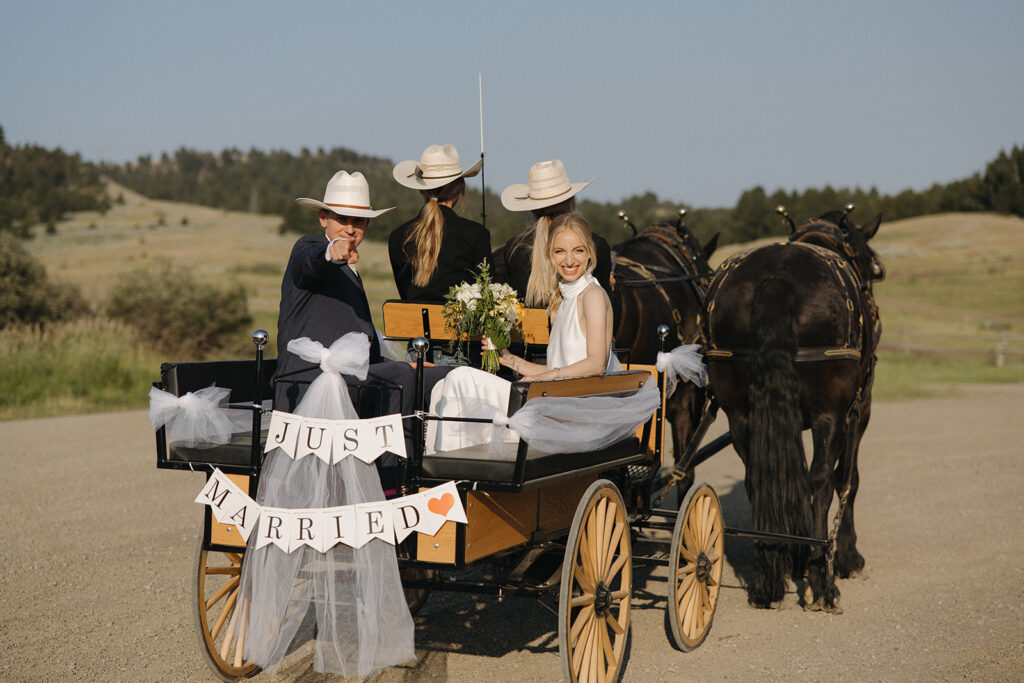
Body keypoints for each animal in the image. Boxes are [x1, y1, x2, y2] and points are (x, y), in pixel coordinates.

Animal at [700, 206, 884, 610]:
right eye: (867, 261)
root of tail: (776, 278)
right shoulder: (857, 410)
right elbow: (847, 480)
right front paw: (845, 557)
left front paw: (795, 555)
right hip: (830, 413)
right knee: (823, 480)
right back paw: (821, 582)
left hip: (740, 415)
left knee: (757, 477)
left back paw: (766, 578)